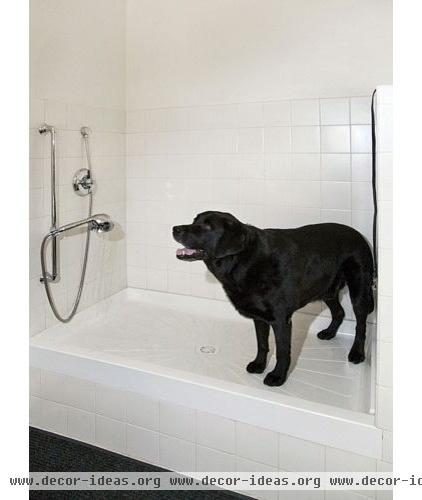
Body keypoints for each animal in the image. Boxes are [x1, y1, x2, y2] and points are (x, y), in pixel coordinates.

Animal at [173, 211, 374, 386]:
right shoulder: (259, 317)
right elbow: (262, 344)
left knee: (361, 324)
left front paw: (278, 377)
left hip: (359, 290)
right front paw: (259, 365)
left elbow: (282, 352)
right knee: (339, 312)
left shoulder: (281, 320)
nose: (175, 228)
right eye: (194, 220)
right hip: (326, 289)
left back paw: (357, 353)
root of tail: (359, 235)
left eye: (207, 226)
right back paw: (329, 333)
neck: (243, 261)